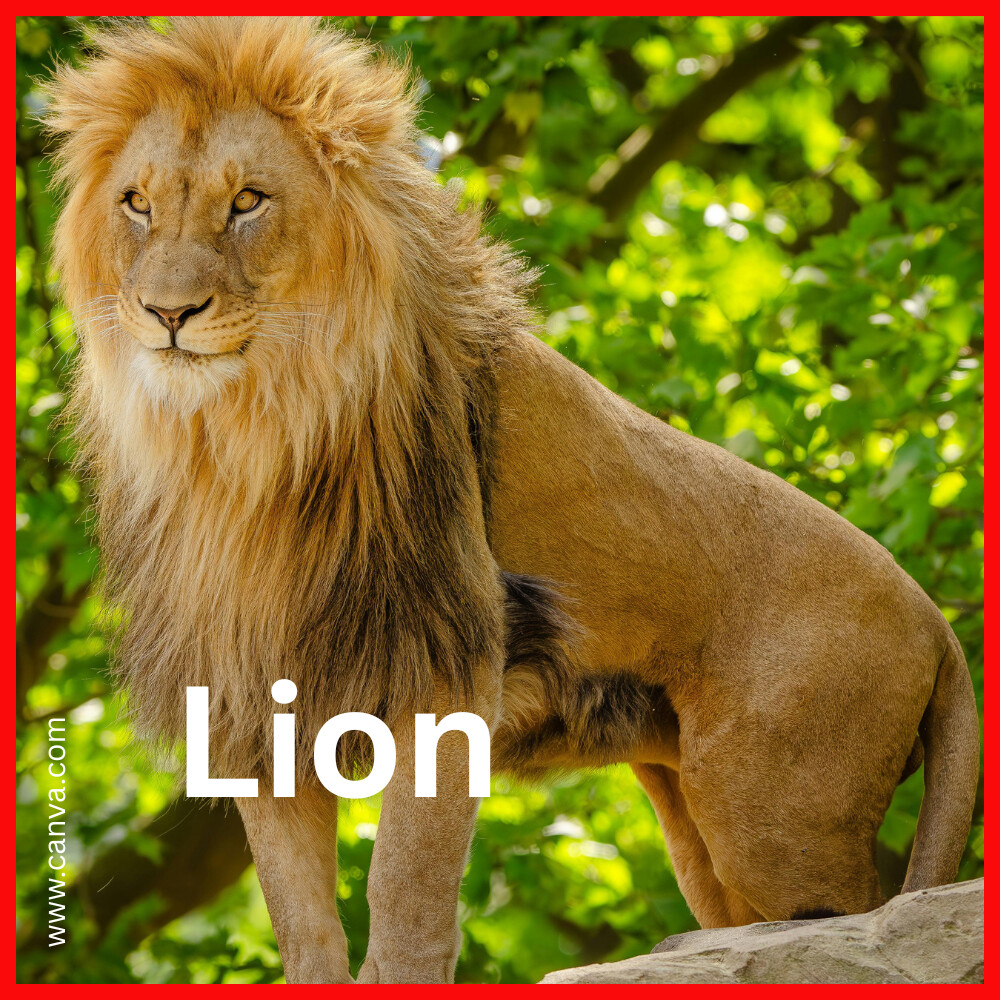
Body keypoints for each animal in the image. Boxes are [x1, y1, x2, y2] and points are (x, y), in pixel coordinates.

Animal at [44, 16, 978, 985]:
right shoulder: (256, 700)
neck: (247, 438)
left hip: (775, 819)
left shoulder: (446, 667)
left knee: (846, 928)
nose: (167, 313)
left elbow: (405, 893)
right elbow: (303, 922)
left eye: (248, 202)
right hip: (701, 834)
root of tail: (934, 620)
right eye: (137, 204)